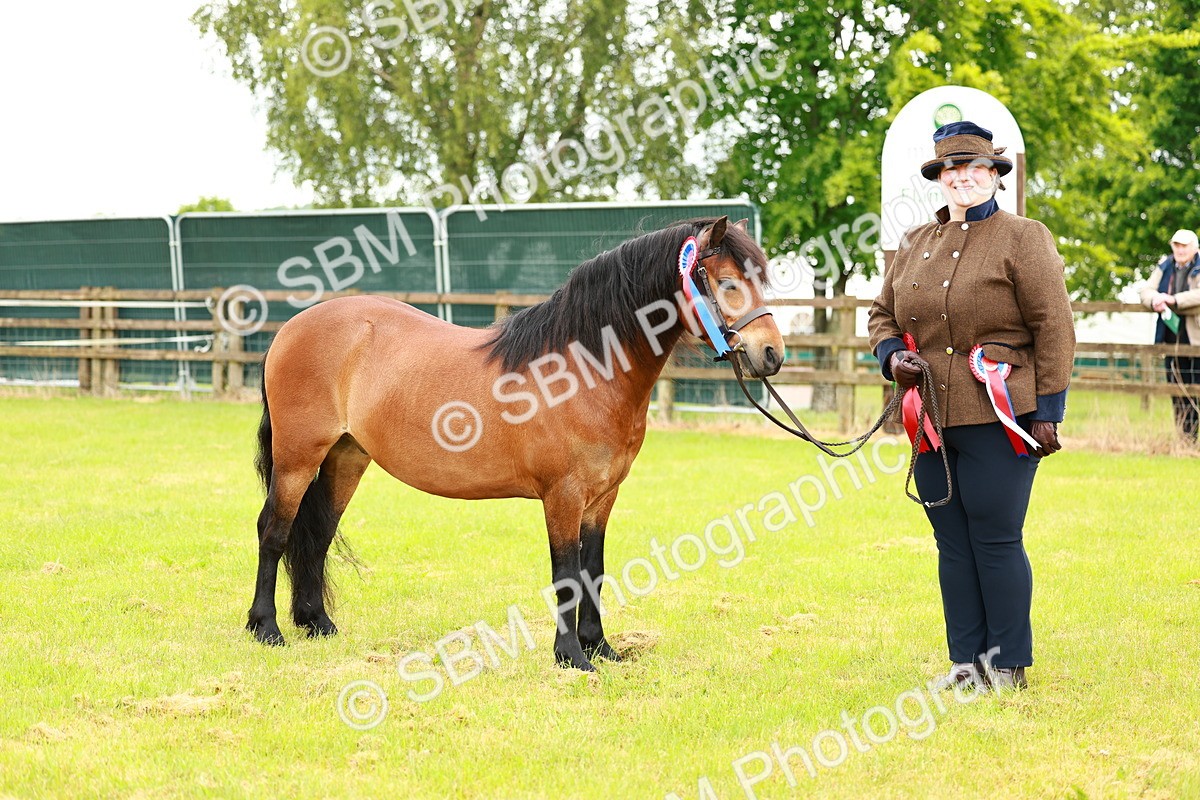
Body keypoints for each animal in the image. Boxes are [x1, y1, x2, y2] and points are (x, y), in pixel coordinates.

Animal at [247, 215, 785, 671]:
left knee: (317, 534)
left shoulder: (602, 497)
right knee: (274, 531)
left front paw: (600, 648)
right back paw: (266, 629)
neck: (583, 372)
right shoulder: (563, 496)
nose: (772, 354)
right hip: (297, 459)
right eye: (729, 283)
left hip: (346, 457)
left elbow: (594, 570)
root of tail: (289, 329)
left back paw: (317, 623)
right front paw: (571, 657)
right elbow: (566, 574)